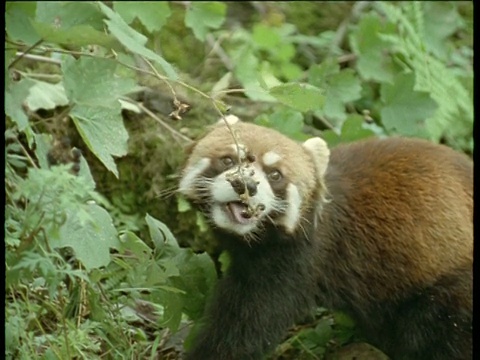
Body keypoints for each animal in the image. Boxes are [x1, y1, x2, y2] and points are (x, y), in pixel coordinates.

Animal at [177, 116, 472, 358]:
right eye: (228, 159)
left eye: (275, 175)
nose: (245, 185)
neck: (250, 239)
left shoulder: (300, 259)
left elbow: (246, 326)